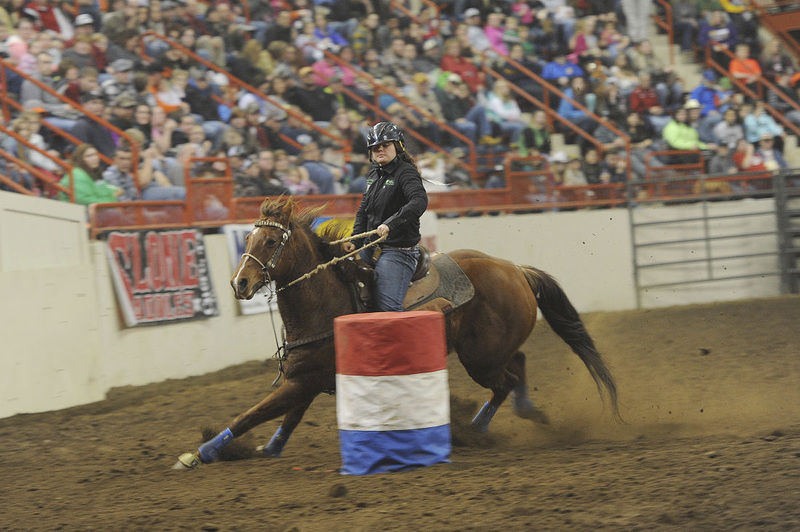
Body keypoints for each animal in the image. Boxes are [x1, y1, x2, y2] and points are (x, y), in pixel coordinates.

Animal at [172, 197, 620, 468]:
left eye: (269, 241)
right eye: (247, 237)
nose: (240, 284)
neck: (327, 298)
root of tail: (515, 270)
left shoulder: (304, 381)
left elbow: (253, 413)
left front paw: (201, 453)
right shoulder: (308, 379)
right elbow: (287, 418)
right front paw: (268, 448)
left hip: (480, 359)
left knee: (505, 382)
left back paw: (473, 430)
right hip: (488, 350)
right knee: (518, 366)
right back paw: (513, 415)